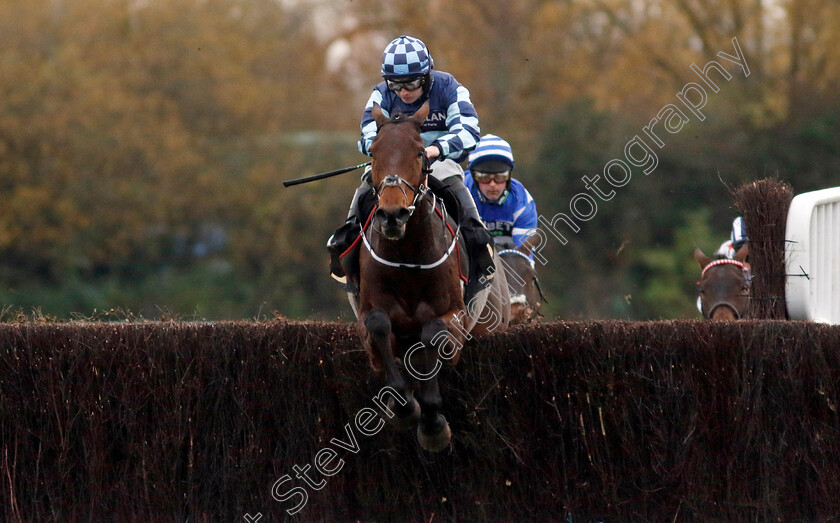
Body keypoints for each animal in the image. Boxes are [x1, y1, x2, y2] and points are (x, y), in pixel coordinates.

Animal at [356, 103, 508, 454]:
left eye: (419, 153)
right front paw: (404, 407)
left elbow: (432, 335)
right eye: (373, 152)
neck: (409, 256)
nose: (393, 214)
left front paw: (433, 424)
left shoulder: (453, 313)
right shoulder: (371, 310)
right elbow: (380, 326)